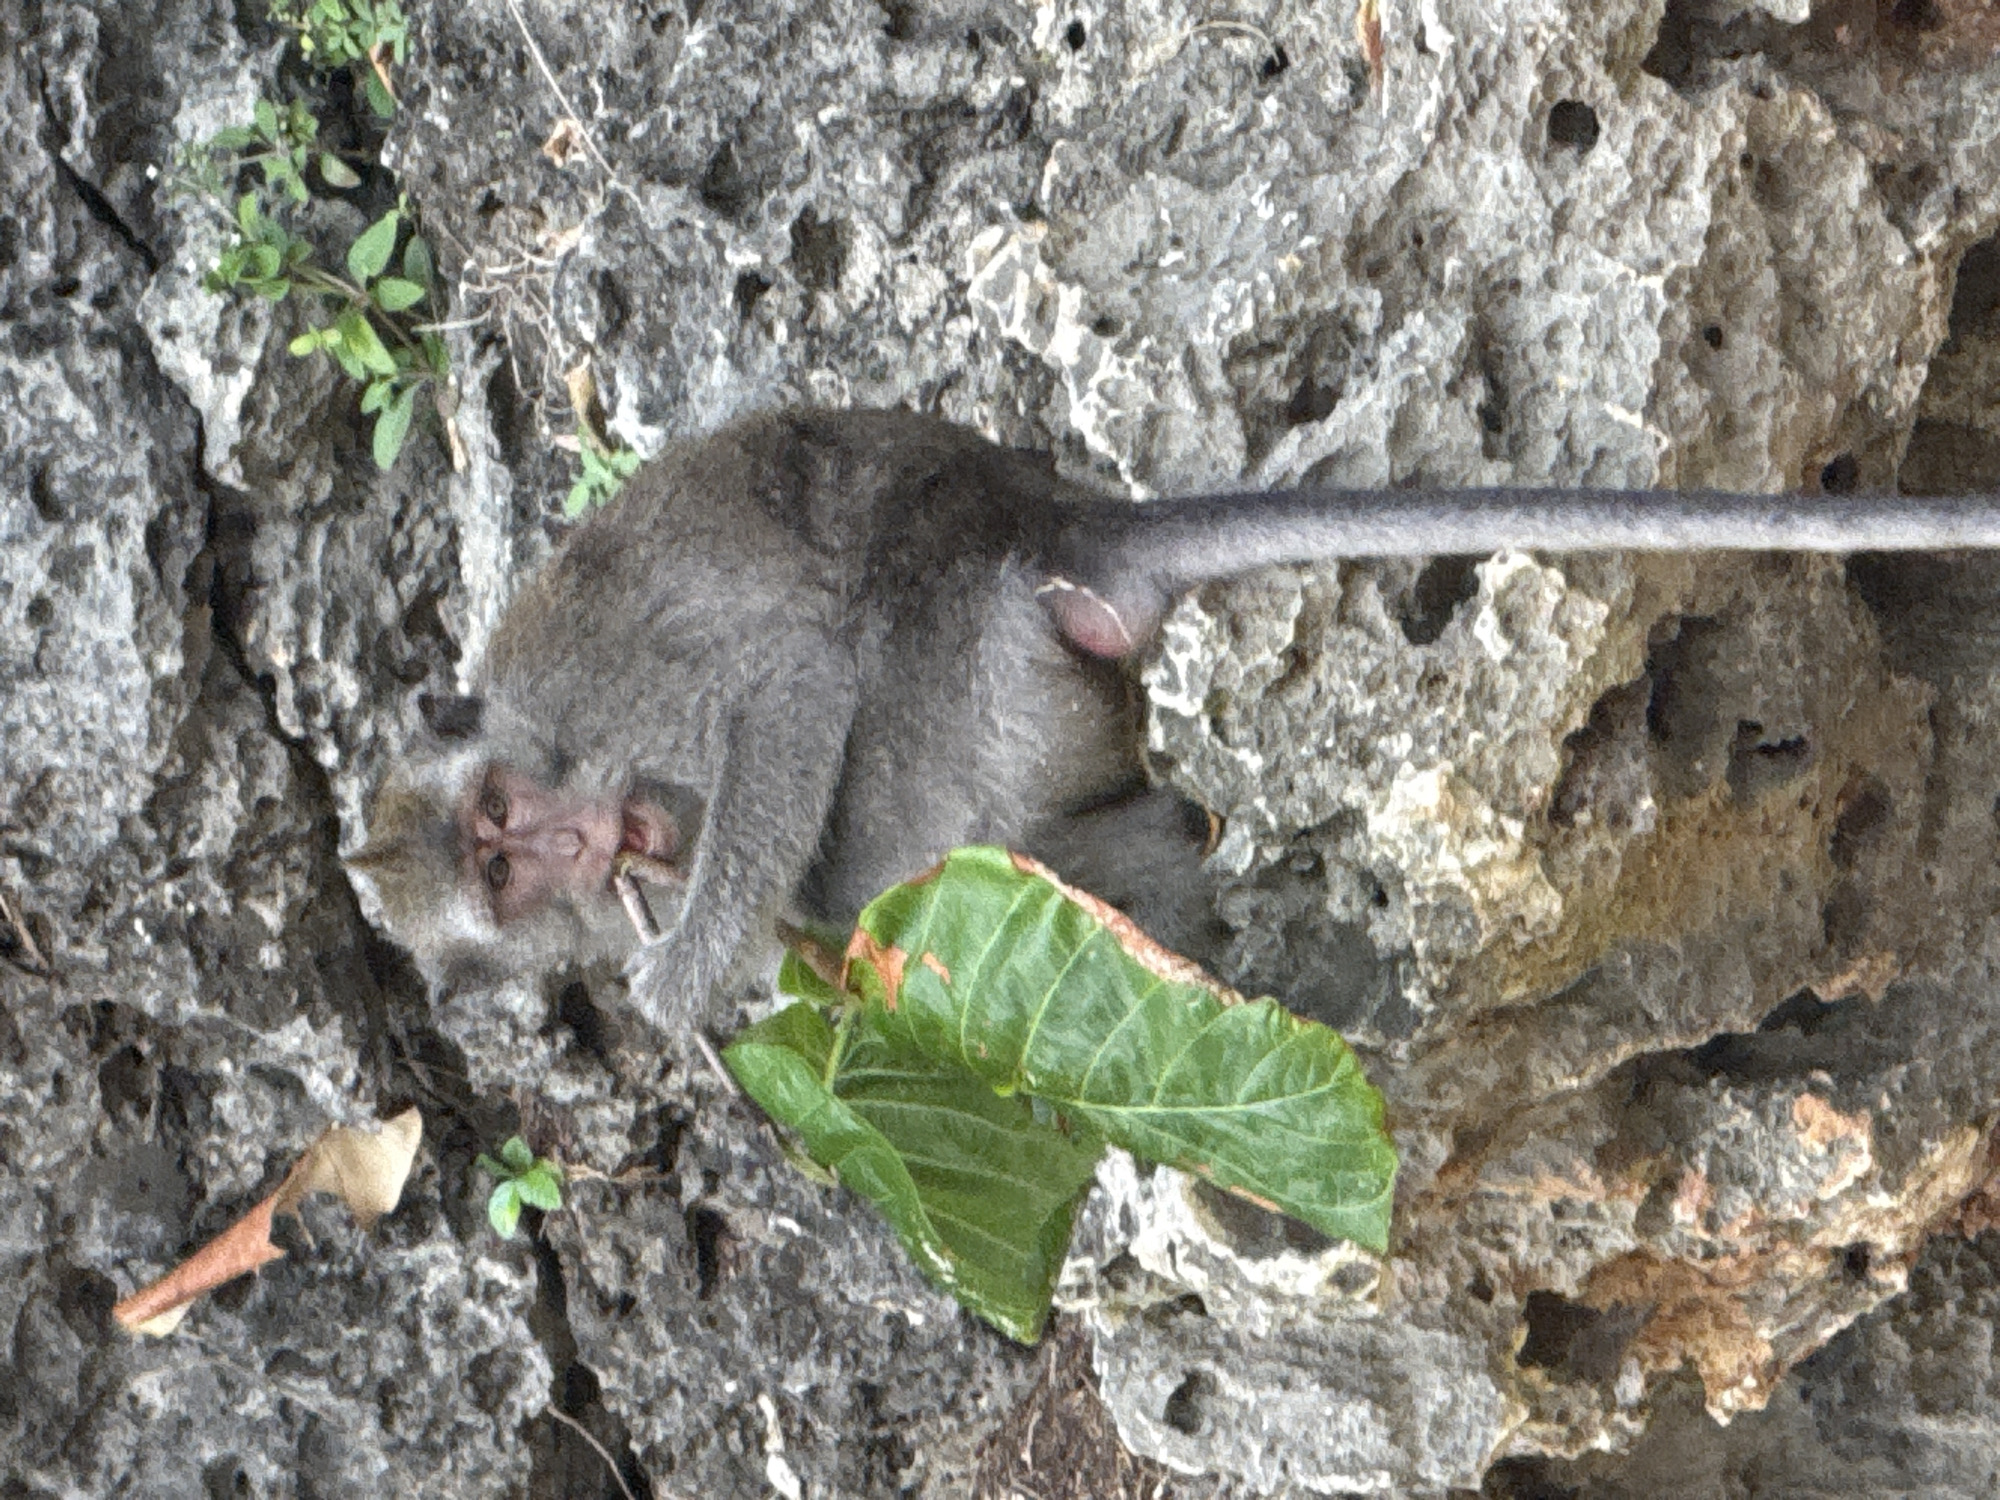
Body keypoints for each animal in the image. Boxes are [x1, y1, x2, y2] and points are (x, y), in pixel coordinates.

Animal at [346, 406, 2000, 1036]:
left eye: (498, 840)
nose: (585, 846)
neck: (561, 736)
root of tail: (1039, 533)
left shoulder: (637, 684)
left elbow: (789, 698)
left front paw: (678, 992)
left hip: (949, 681)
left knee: (885, 840)